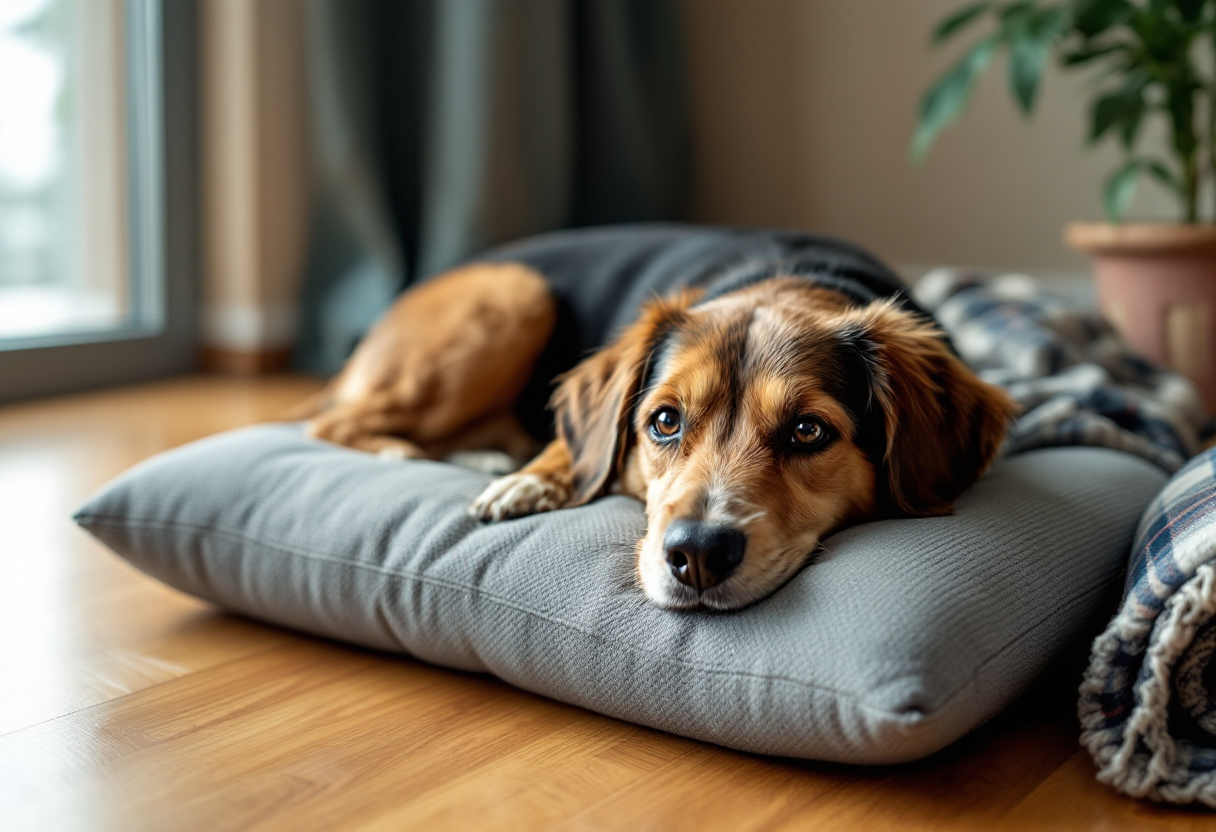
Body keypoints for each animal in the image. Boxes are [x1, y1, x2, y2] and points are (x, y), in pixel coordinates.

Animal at [301, 227, 1016, 610]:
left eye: (808, 431)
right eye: (665, 422)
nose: (696, 554)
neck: (789, 282)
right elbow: (579, 450)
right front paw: (533, 478)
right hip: (514, 296)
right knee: (330, 424)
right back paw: (421, 453)